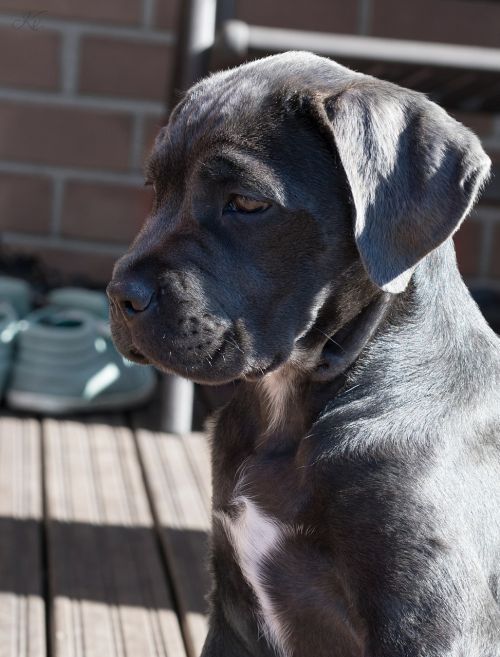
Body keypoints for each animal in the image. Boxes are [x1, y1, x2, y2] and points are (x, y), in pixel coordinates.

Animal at [106, 52, 500, 656]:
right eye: (155, 189)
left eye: (247, 203)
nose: (121, 295)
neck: (288, 405)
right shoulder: (233, 614)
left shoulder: (432, 625)